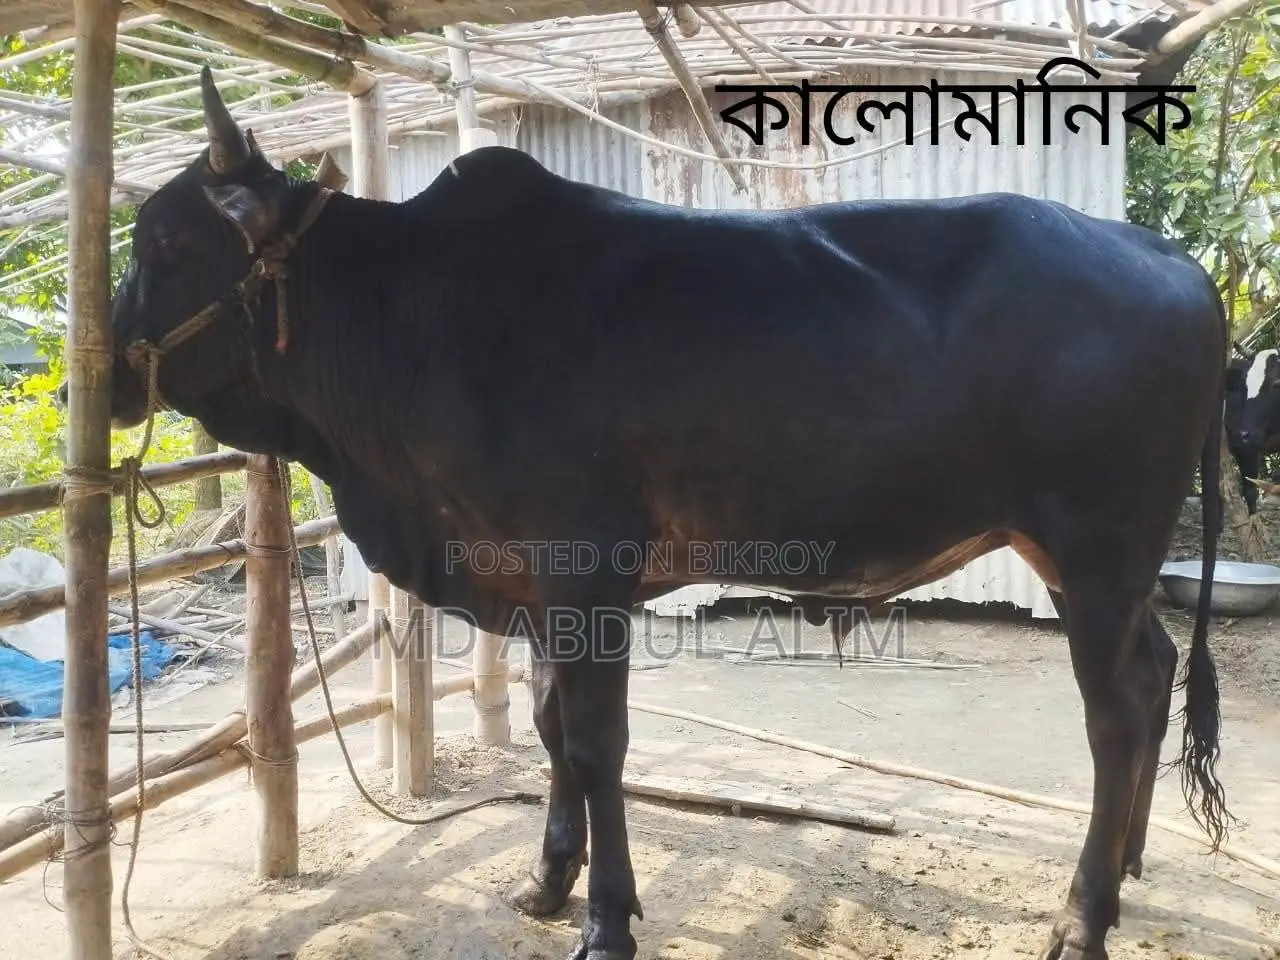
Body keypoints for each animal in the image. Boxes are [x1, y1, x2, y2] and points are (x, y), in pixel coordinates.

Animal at [85, 68, 1231, 960]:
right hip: (1090, 560)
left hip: (1098, 546)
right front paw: (547, 882)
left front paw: (605, 921)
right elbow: (549, 727)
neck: (416, 321)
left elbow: (596, 745)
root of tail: (1168, 257)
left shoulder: (584, 569)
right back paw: (1126, 865)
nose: (98, 376)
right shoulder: (533, 582)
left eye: (164, 238)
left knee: (1119, 710)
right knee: (1154, 669)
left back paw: (1082, 915)